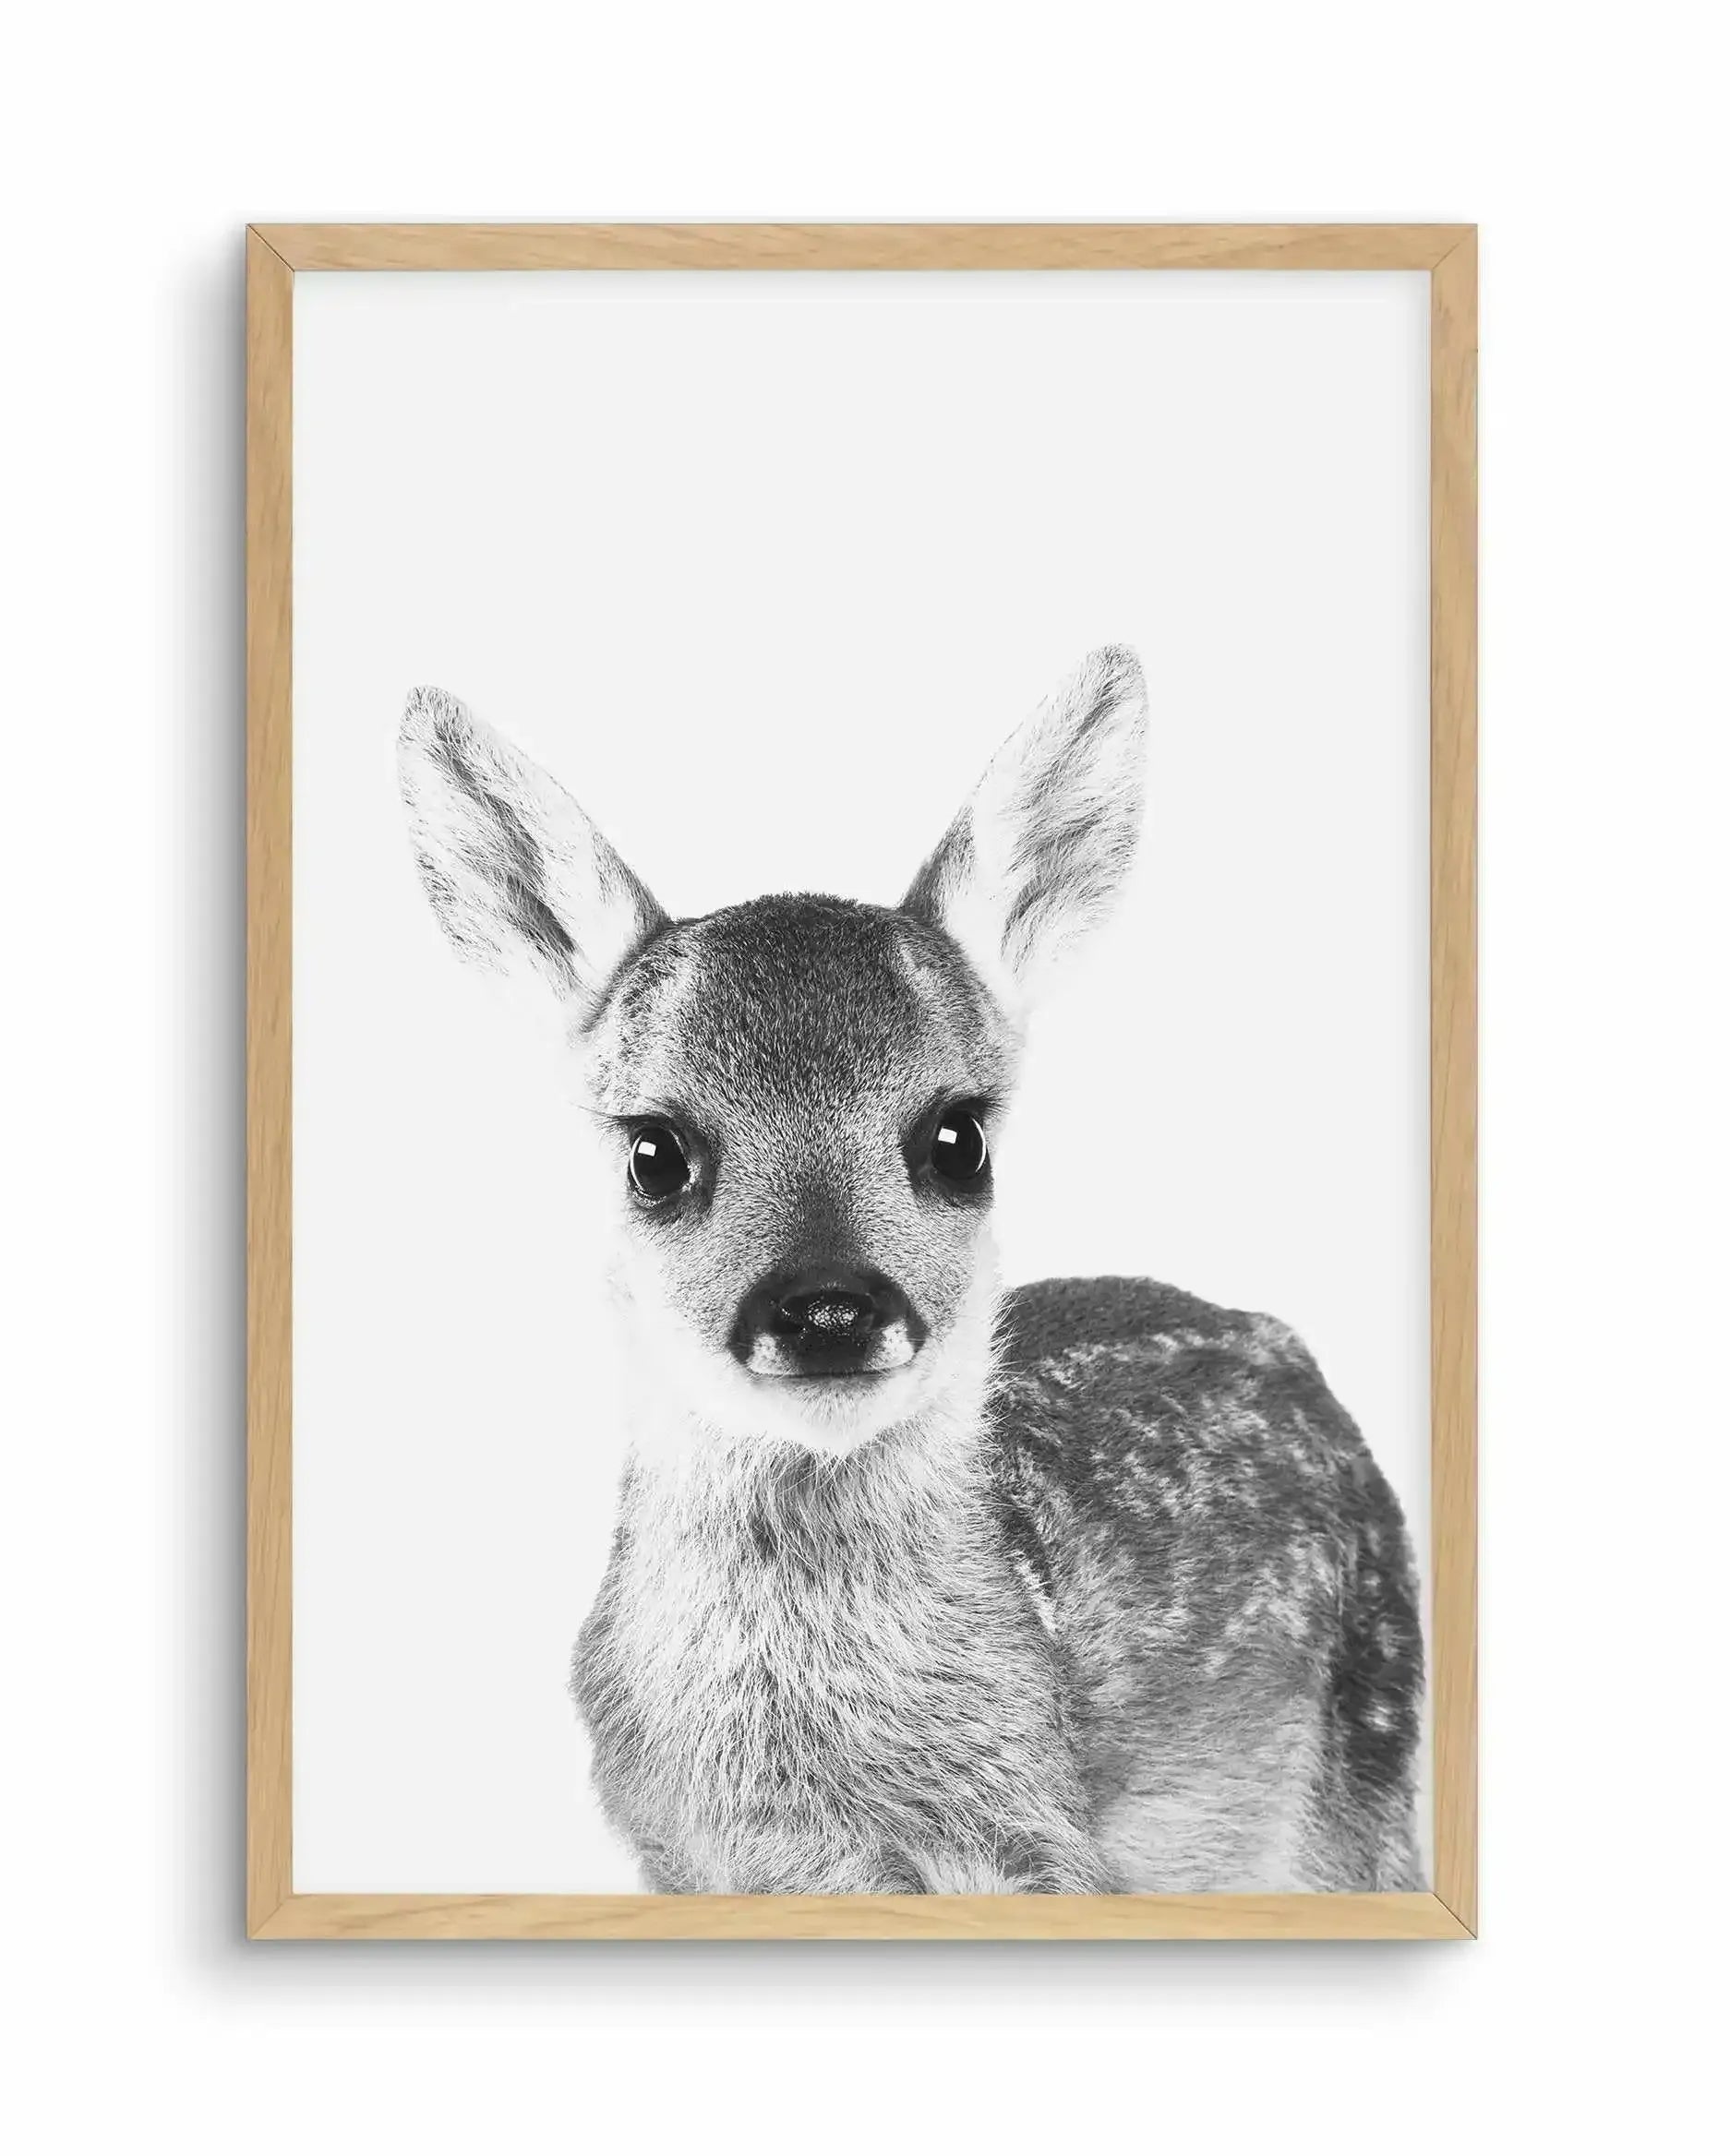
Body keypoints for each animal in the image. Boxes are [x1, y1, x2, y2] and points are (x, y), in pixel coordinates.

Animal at [397, 646, 1423, 1896]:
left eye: (958, 1137)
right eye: (653, 1151)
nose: (829, 1305)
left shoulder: (1041, 1841)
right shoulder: (675, 1855)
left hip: (1368, 1767)